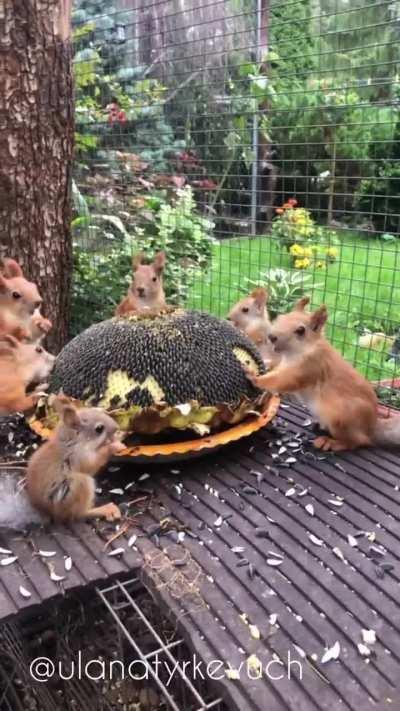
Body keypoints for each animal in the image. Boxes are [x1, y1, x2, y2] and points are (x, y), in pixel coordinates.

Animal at [246, 297, 400, 452]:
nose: (271, 336)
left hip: (339, 417)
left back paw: (331, 442)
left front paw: (254, 377)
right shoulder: (284, 365)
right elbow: (277, 377)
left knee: (359, 441)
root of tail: (371, 428)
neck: (296, 353)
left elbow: (282, 381)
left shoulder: (309, 367)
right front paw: (265, 392)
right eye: (280, 317)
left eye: (300, 330)